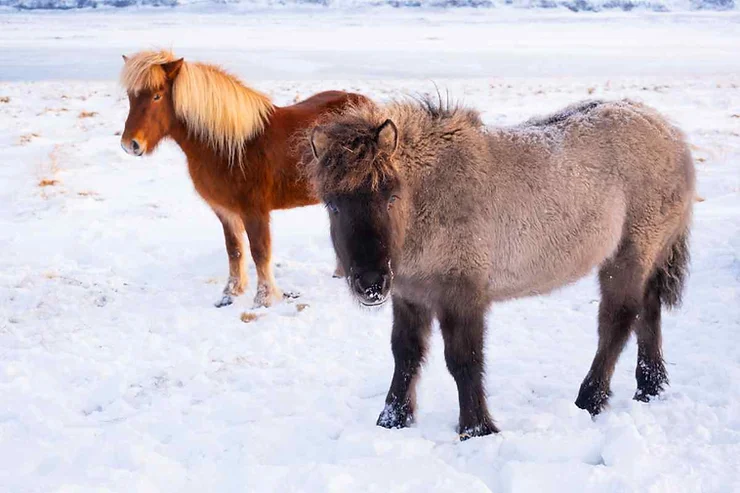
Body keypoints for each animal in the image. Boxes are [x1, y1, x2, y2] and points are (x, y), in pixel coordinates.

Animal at [118, 52, 368, 310]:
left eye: (157, 96)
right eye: (131, 96)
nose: (130, 145)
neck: (230, 146)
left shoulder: (254, 211)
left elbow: (259, 251)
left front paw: (263, 299)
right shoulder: (225, 211)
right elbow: (234, 250)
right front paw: (230, 294)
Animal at [310, 98, 696, 436]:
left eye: (390, 197)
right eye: (334, 205)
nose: (371, 283)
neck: (430, 198)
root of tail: (671, 133)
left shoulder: (461, 295)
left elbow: (463, 360)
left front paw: (476, 429)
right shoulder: (410, 296)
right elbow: (405, 355)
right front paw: (392, 420)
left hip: (627, 255)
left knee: (617, 322)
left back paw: (589, 400)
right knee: (647, 311)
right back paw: (650, 387)